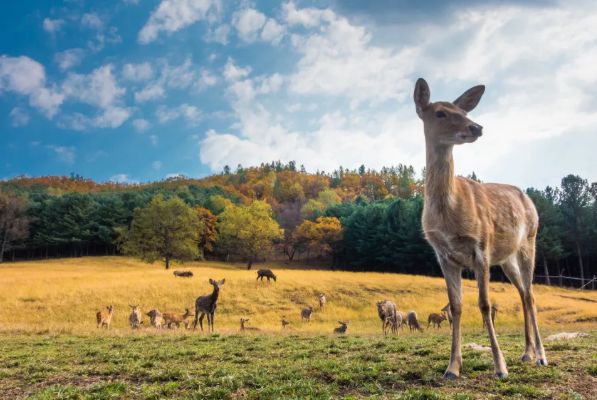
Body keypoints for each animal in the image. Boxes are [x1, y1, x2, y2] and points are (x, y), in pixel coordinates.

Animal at [414, 76, 544, 380]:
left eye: (464, 112)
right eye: (440, 113)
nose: (476, 127)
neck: (448, 213)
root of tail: (529, 200)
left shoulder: (480, 247)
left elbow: (484, 304)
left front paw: (500, 368)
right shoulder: (444, 255)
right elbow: (456, 306)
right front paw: (452, 368)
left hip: (529, 241)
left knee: (532, 294)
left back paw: (541, 356)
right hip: (506, 258)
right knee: (523, 293)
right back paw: (527, 353)